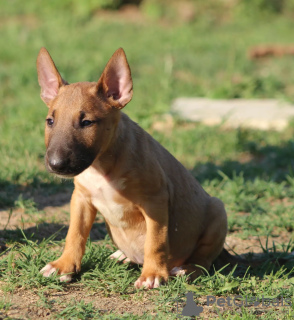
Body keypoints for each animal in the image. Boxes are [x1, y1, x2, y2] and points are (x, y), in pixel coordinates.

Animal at [36, 47, 227, 288]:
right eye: (50, 121)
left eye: (87, 122)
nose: (56, 165)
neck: (101, 167)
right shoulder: (80, 198)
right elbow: (75, 234)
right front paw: (63, 266)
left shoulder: (155, 200)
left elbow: (156, 241)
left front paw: (153, 275)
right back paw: (122, 255)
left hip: (218, 212)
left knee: (204, 260)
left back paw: (186, 269)